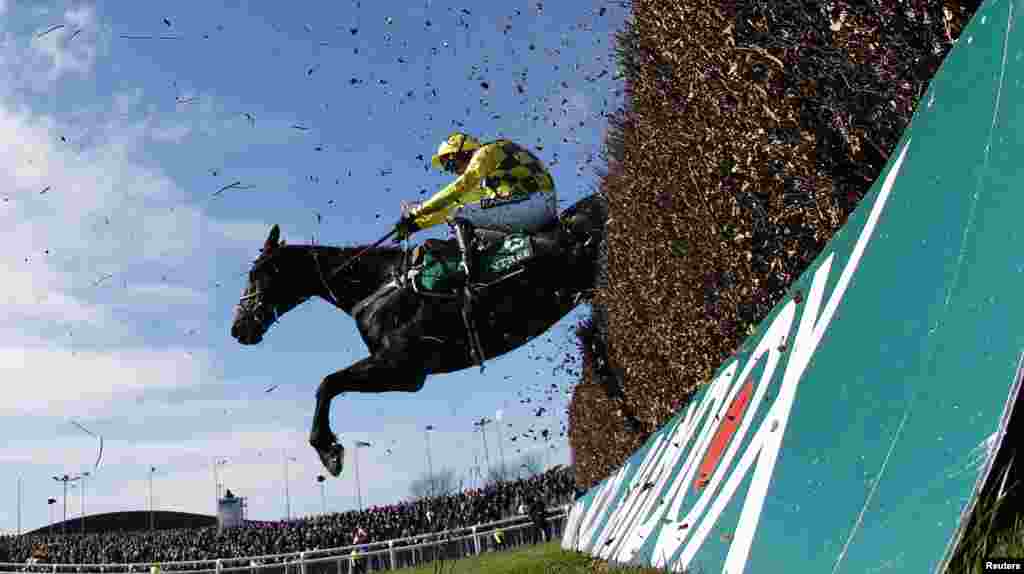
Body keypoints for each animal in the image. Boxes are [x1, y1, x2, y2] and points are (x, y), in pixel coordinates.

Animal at [230, 192, 606, 474]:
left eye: (256, 274)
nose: (238, 328)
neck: (380, 283)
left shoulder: (403, 368)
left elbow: (328, 383)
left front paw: (327, 449)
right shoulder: (400, 369)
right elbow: (330, 383)